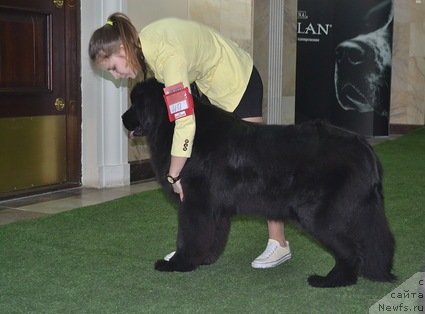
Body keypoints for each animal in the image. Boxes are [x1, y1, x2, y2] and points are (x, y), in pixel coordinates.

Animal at [122, 78, 394, 288]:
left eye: (135, 103)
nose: (123, 118)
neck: (175, 127)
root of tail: (364, 146)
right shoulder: (214, 207)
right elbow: (212, 235)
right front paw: (205, 259)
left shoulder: (195, 204)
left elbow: (189, 236)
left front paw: (179, 264)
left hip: (319, 215)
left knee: (350, 250)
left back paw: (331, 281)